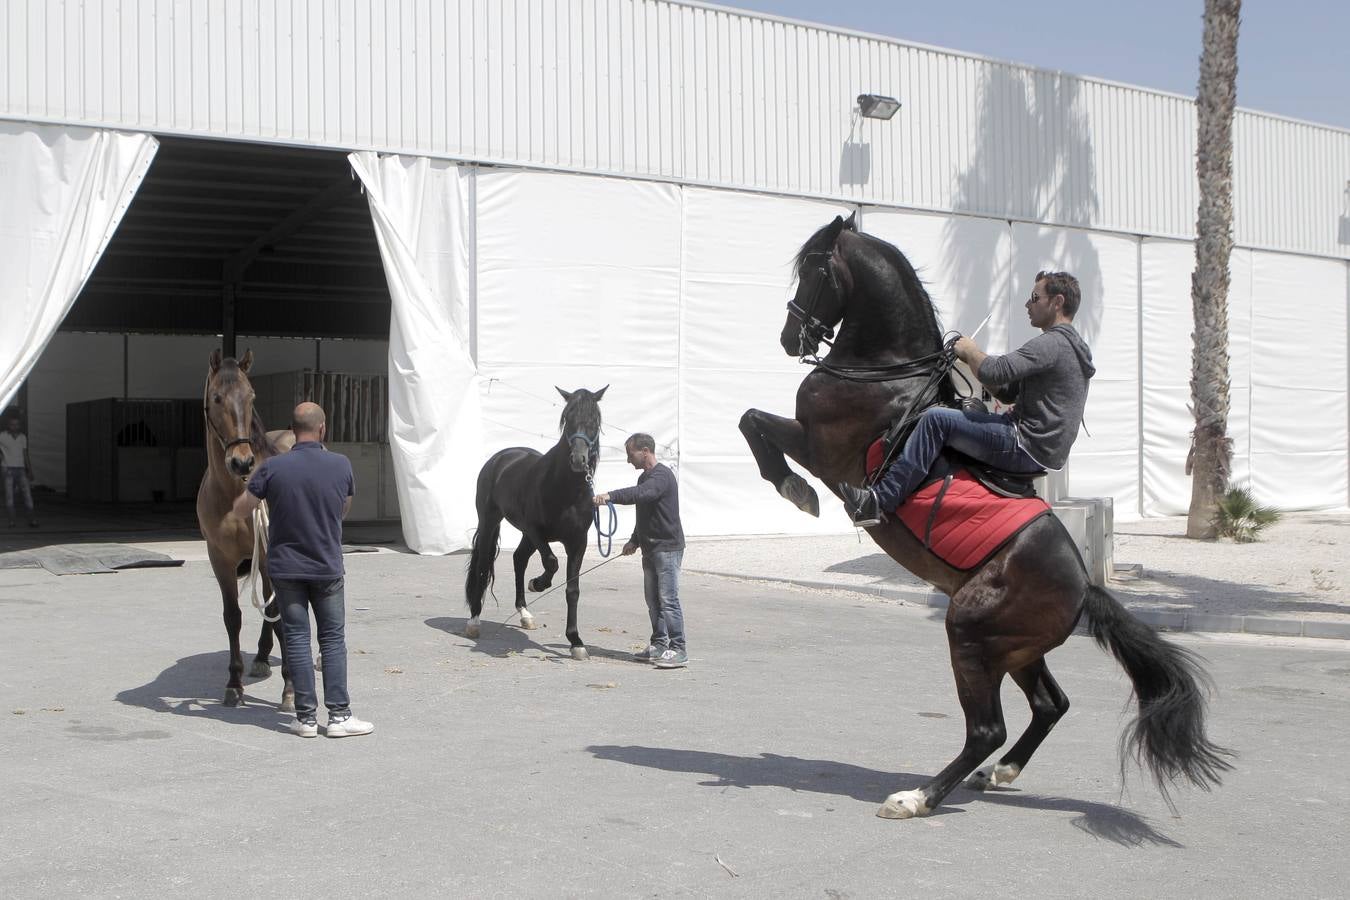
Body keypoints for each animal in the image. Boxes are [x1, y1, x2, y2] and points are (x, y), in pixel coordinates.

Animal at [194, 350, 297, 712]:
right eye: (216, 398)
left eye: (250, 396)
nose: (241, 462)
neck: (233, 494)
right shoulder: (220, 558)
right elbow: (233, 617)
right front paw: (233, 684)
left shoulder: (267, 555)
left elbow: (280, 615)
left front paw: (290, 690)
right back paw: (263, 657)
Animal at [467, 388, 610, 661]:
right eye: (567, 420)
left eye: (595, 421)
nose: (578, 459)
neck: (565, 490)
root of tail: (500, 457)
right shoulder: (536, 531)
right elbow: (552, 562)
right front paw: (538, 583)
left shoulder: (578, 542)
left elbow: (572, 589)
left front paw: (576, 642)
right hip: (491, 522)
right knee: (483, 565)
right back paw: (474, 621)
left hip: (525, 536)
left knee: (519, 559)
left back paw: (525, 615)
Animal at [739, 214, 1236, 820]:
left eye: (813, 269)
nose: (792, 338)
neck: (884, 373)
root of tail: (1084, 586)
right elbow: (751, 419)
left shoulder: (819, 446)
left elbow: (753, 422)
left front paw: (795, 490)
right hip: (1014, 650)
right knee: (1050, 704)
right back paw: (999, 772)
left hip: (971, 634)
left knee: (986, 729)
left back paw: (919, 797)